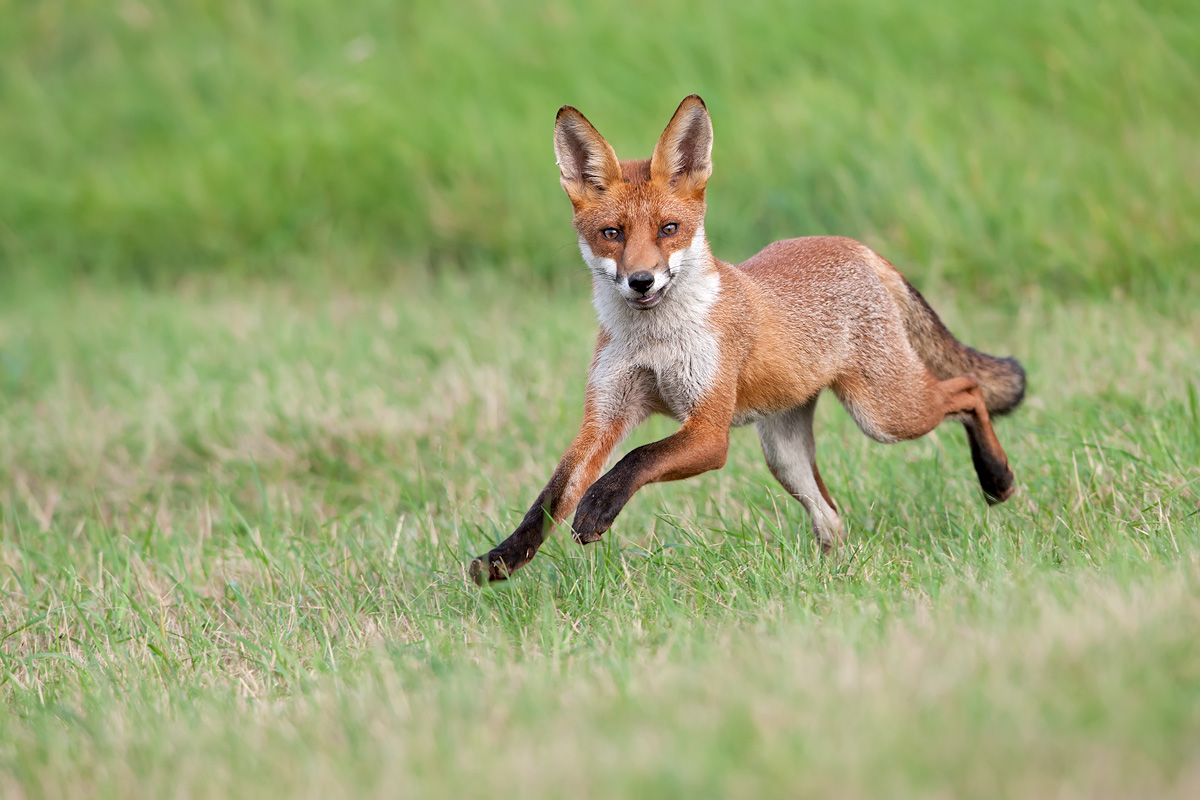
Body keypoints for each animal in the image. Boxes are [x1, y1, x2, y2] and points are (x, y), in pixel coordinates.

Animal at [469, 95, 1025, 584]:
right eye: (612, 234)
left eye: (669, 229)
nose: (641, 281)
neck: (656, 344)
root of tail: (856, 246)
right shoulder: (605, 417)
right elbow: (549, 498)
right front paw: (503, 559)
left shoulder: (710, 431)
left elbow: (638, 458)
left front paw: (599, 507)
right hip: (784, 453)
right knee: (832, 517)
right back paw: (827, 580)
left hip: (885, 414)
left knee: (969, 389)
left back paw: (996, 479)